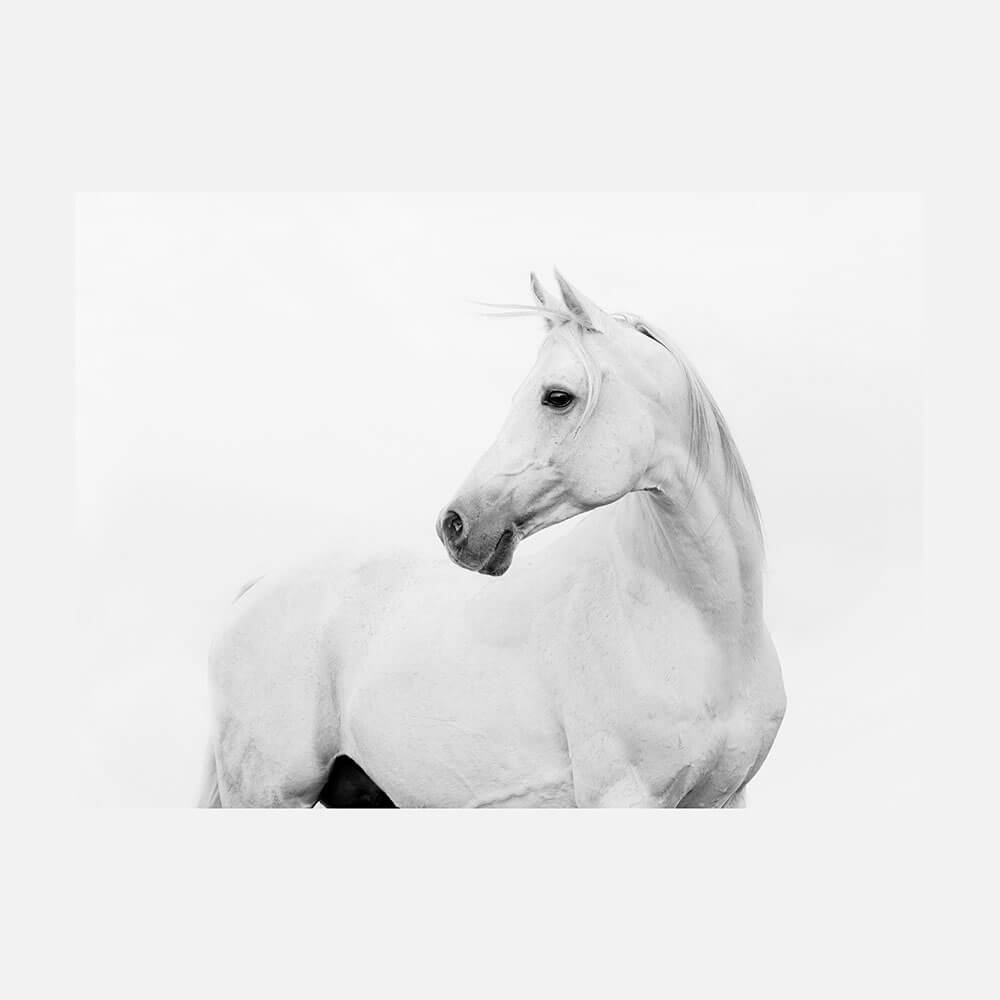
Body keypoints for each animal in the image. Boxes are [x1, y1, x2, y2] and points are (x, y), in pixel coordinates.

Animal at [199, 272, 786, 808]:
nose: (455, 524)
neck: (705, 627)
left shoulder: (724, 799)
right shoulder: (624, 796)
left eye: (557, 397)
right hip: (269, 795)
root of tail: (259, 587)